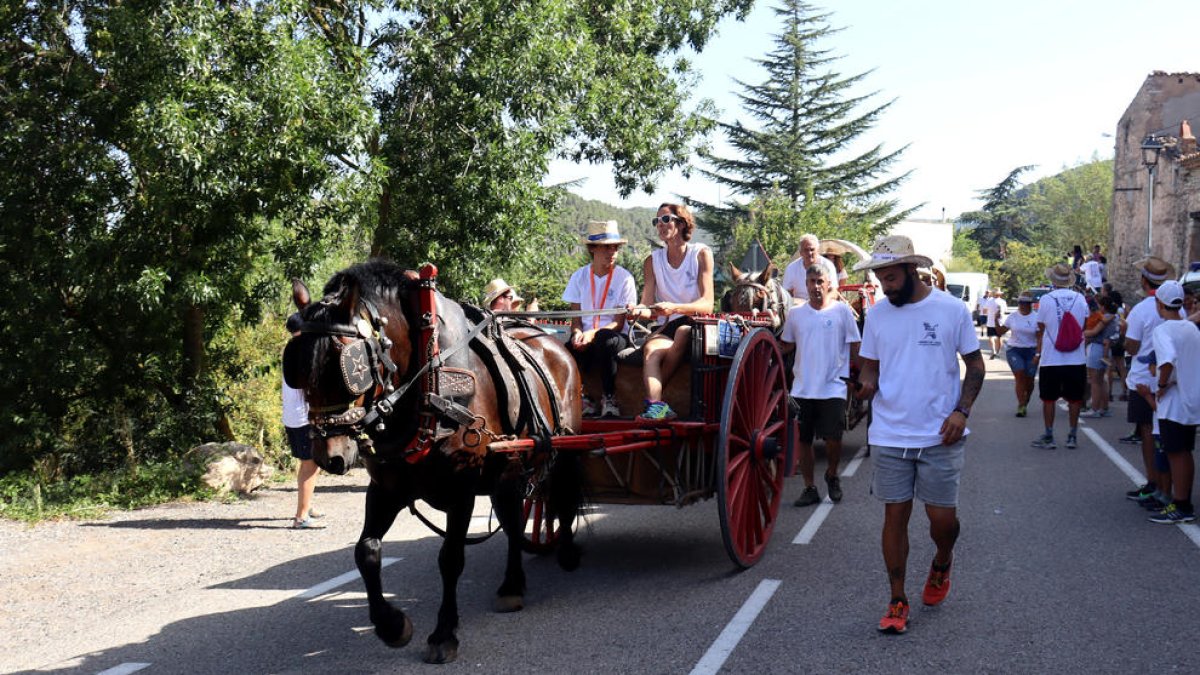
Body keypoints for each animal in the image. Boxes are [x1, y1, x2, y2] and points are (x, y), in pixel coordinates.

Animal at [280, 258, 580, 662]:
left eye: (348, 369)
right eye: (298, 371)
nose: (330, 457)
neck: (427, 379)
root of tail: (551, 340)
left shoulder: (461, 488)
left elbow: (450, 558)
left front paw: (443, 633)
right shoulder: (386, 487)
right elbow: (366, 552)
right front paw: (391, 625)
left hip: (563, 447)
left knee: (561, 498)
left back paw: (564, 553)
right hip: (508, 469)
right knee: (514, 519)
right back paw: (512, 585)